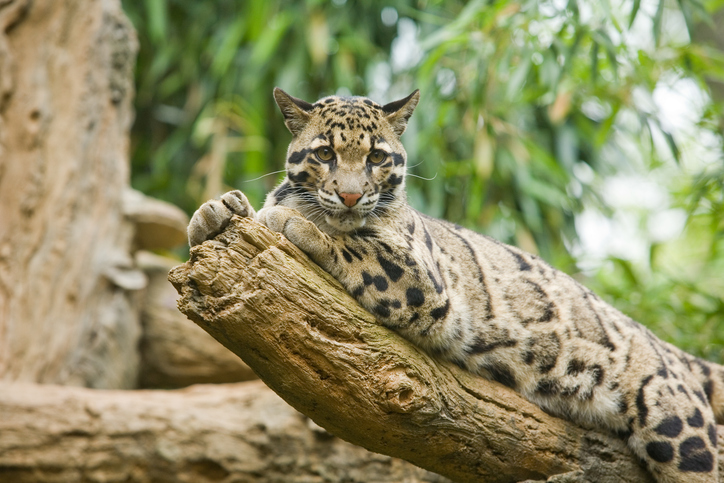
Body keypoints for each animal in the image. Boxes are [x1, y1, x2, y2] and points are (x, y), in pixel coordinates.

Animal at [187, 87, 724, 482]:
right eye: (323, 152)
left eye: (377, 157)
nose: (351, 195)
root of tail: (665, 346)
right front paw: (215, 210)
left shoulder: (427, 283)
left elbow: (355, 245)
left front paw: (294, 223)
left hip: (677, 427)